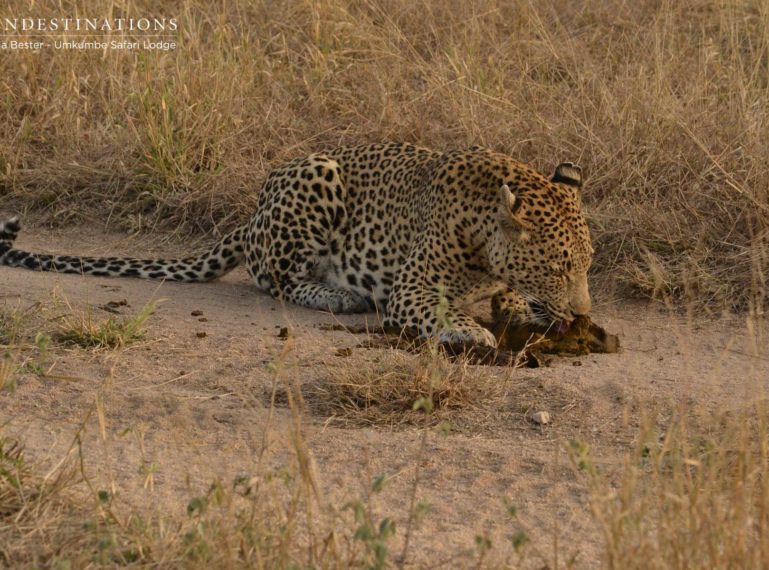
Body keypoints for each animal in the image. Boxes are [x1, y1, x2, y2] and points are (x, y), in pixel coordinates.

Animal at [0, 142, 592, 346]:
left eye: (587, 265)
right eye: (559, 267)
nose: (585, 317)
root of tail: (251, 217)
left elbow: (509, 297)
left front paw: (519, 308)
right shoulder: (411, 288)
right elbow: (440, 309)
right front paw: (472, 331)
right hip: (318, 176)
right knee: (277, 280)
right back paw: (340, 296)